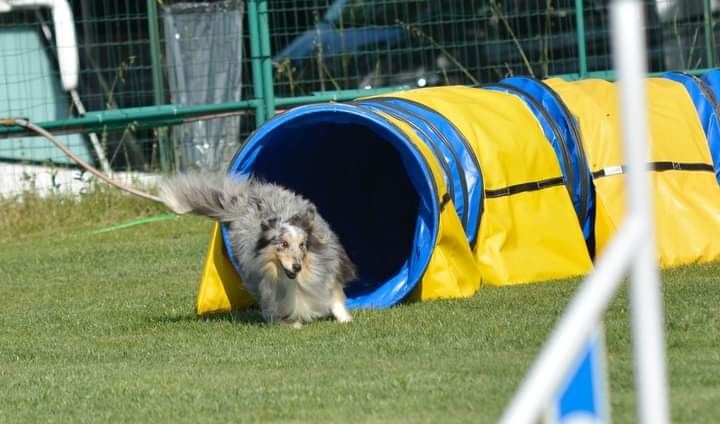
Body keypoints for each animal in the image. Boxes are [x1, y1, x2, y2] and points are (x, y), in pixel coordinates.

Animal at [159, 173, 356, 327]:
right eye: (283, 244)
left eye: (302, 245)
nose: (297, 267)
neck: (291, 280)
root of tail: (244, 202)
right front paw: (292, 323)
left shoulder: (328, 265)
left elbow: (333, 293)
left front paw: (345, 319)